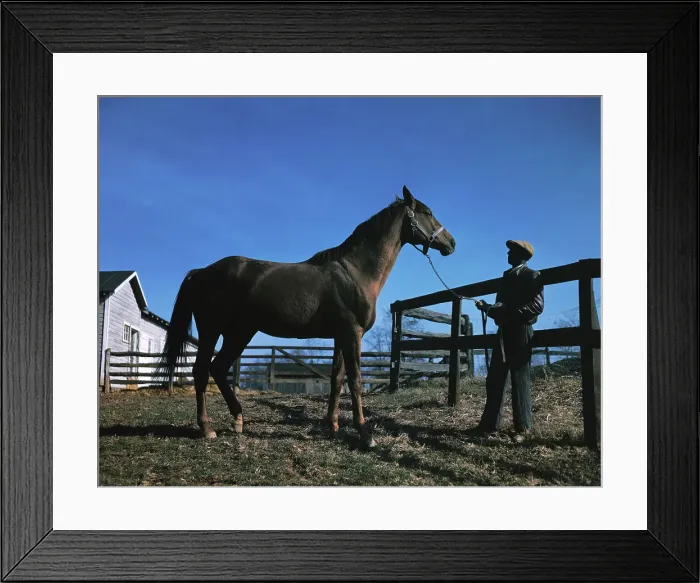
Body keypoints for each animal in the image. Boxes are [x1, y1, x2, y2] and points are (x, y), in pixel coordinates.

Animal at [156, 185, 456, 449]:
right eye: (428, 212)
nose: (451, 243)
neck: (355, 271)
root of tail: (201, 272)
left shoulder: (340, 336)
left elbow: (337, 380)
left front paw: (332, 427)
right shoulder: (352, 334)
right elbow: (356, 381)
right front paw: (365, 434)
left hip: (240, 333)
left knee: (218, 368)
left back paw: (238, 420)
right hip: (211, 331)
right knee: (201, 371)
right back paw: (207, 428)